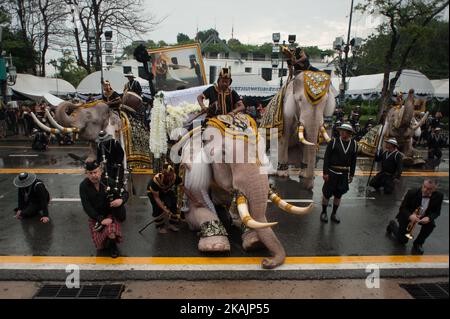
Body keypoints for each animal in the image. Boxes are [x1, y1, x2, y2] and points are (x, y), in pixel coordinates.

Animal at [171, 114, 312, 268]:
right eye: (224, 154)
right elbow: (198, 210)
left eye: (262, 152)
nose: (266, 261)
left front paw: (255, 243)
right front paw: (215, 247)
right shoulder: (192, 179)